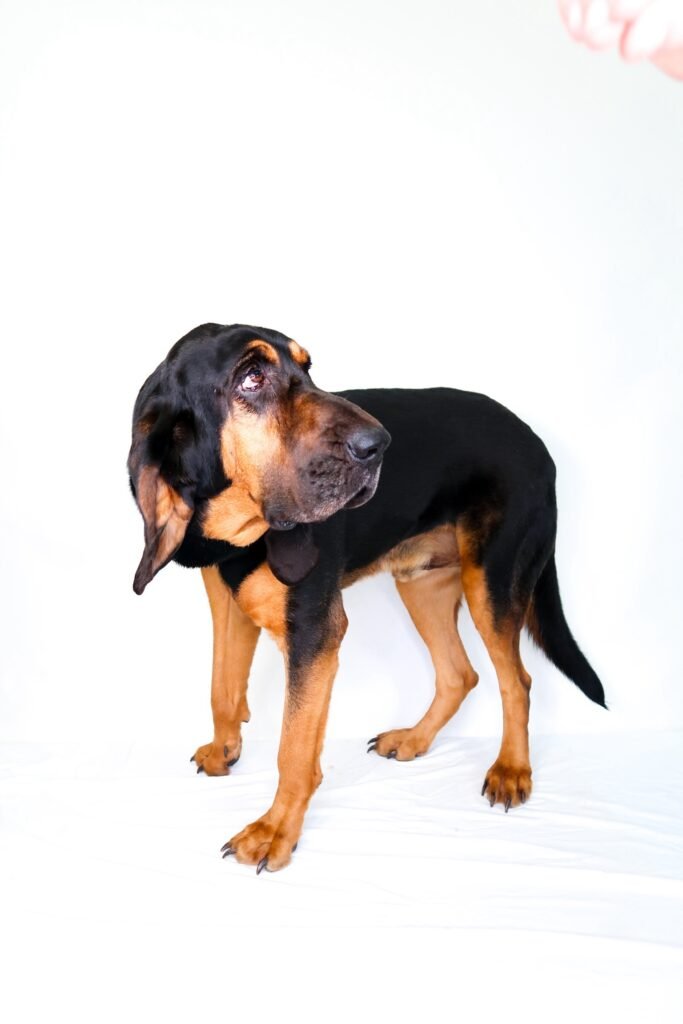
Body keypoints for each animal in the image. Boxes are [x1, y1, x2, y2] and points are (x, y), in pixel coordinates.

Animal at [128, 323, 605, 873]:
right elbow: (222, 687)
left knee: (518, 682)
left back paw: (511, 770)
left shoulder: (315, 633)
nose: (378, 445)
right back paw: (414, 740)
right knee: (460, 674)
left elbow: (295, 749)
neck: (242, 523)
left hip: (492, 583)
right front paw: (224, 751)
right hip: (421, 583)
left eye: (307, 369)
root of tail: (537, 442)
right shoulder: (226, 601)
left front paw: (274, 833)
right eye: (252, 377)